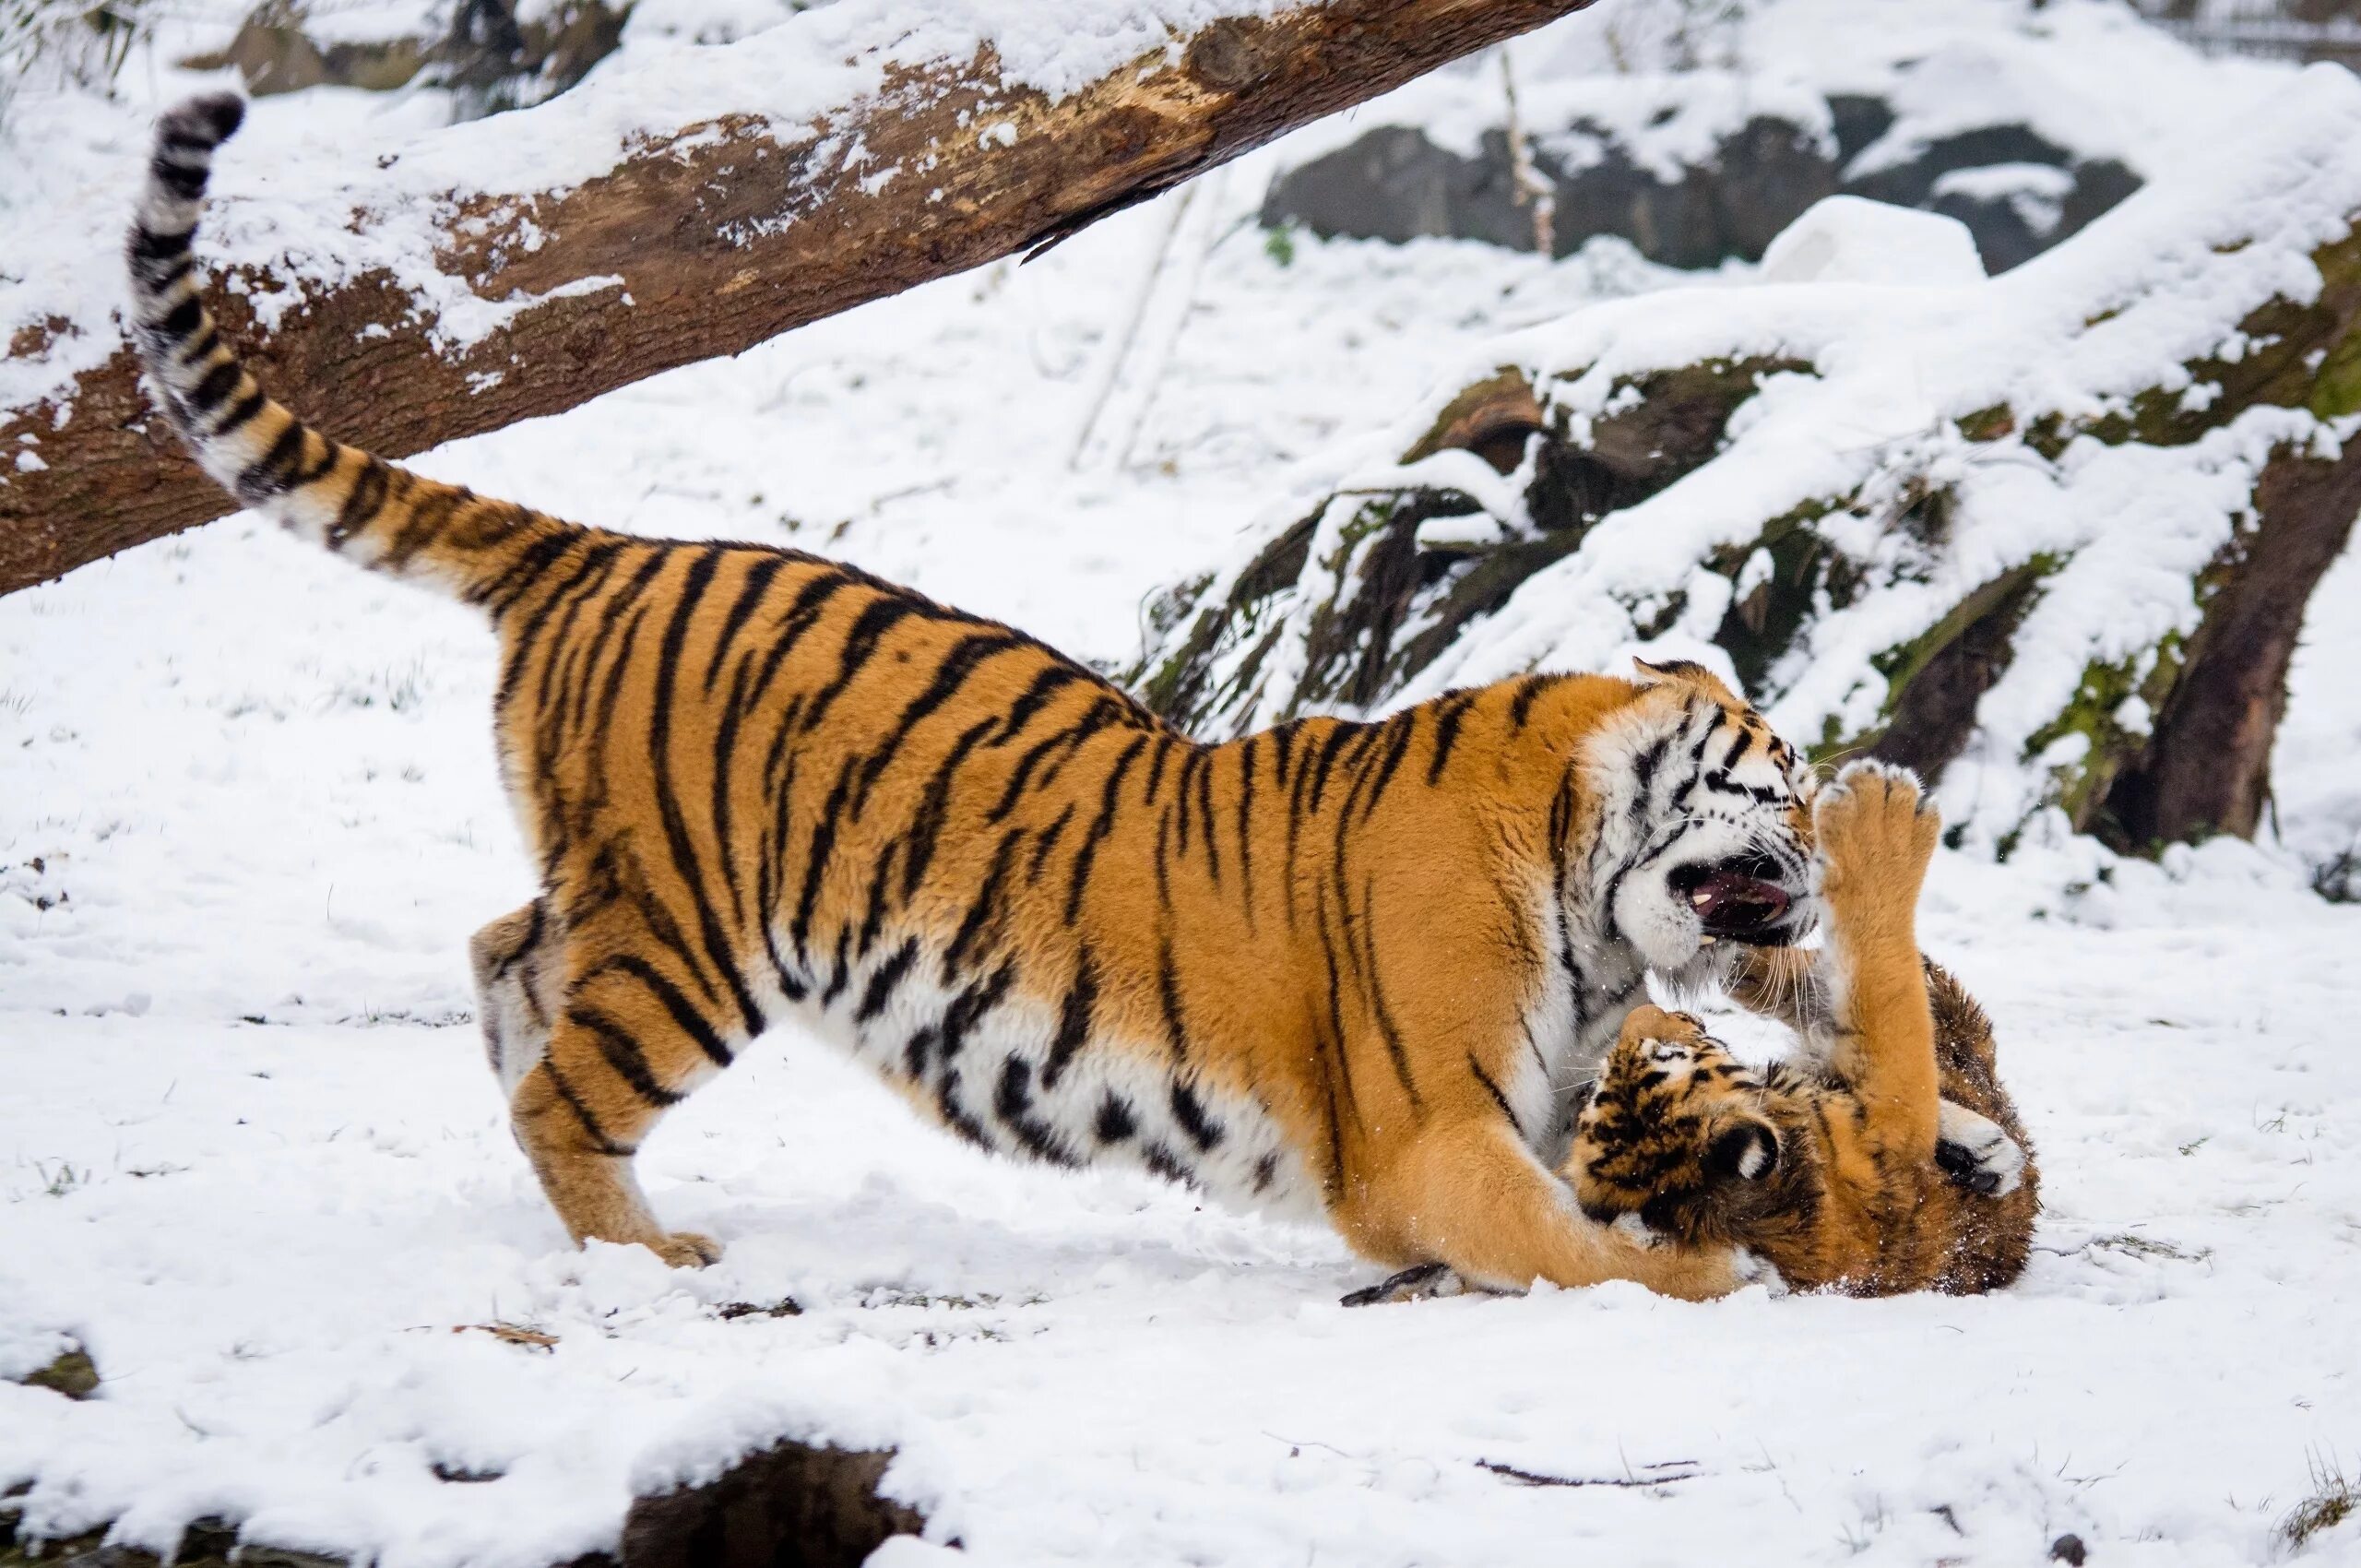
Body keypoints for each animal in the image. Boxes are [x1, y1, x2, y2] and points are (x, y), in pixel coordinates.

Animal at [1558, 765, 2039, 1294]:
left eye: (1663, 1052)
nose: (1642, 1014)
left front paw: (1985, 1152)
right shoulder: (1893, 1110)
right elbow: (1884, 981)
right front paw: (1880, 813)